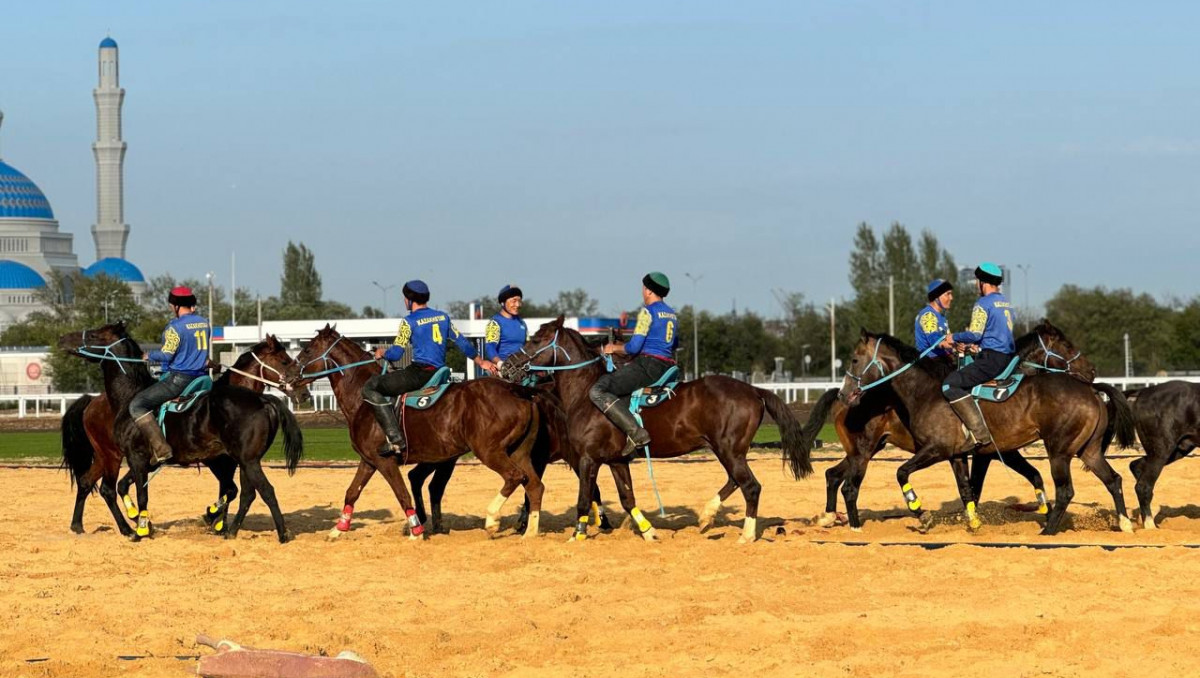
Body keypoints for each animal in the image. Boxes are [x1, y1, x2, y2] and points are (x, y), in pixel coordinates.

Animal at [61, 319, 307, 542]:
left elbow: (143, 495)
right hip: (109, 454)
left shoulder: (139, 458)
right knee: (94, 484)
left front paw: (144, 528)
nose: (304, 391)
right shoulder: (212, 462)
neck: (129, 397)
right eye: (284, 360)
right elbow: (228, 491)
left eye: (94, 335)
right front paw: (213, 520)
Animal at [292, 324, 547, 537]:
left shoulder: (384, 461)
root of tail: (518, 391)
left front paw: (416, 531)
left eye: (307, 350)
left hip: (489, 451)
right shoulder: (369, 460)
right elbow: (352, 491)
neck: (362, 400)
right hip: (518, 452)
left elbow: (401, 493)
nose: (290, 376)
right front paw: (338, 529)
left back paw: (492, 520)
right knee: (534, 486)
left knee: (514, 477)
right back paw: (529, 533)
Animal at [496, 314, 816, 542]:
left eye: (537, 339)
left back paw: (746, 535)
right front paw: (648, 531)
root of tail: (753, 390)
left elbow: (584, 500)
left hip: (729, 450)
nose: (506, 366)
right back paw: (707, 515)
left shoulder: (587, 460)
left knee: (750, 486)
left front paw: (577, 536)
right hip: (728, 451)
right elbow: (627, 499)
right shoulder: (616, 461)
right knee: (735, 481)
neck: (586, 393)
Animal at [806, 319, 1099, 530]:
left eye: (855, 359)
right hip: (863, 452)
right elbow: (907, 474)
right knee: (849, 486)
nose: (1092, 371)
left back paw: (833, 518)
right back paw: (853, 526)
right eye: (1067, 346)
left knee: (835, 477)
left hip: (865, 450)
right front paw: (923, 513)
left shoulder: (964, 453)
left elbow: (971, 488)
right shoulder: (949, 451)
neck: (925, 392)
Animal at [1118, 381, 1200, 528]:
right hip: (1162, 450)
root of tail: (1143, 392)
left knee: (1136, 466)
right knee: (1143, 486)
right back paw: (1150, 526)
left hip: (1177, 449)